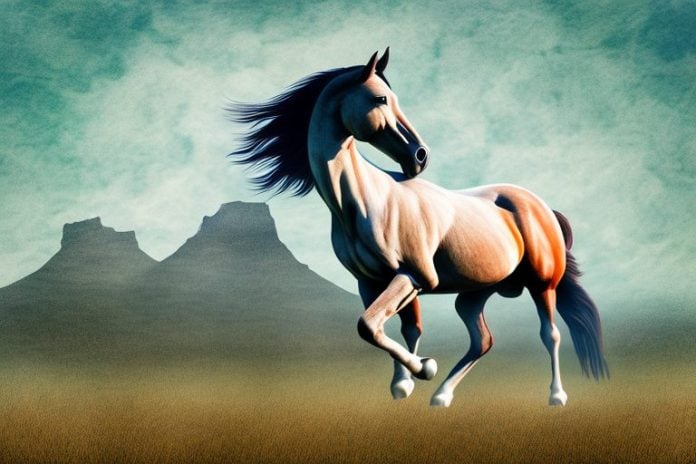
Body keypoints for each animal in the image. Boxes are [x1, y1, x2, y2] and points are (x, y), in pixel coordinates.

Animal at [229, 48, 608, 407]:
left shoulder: (415, 276)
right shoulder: (371, 281)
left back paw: (556, 396)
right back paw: (441, 397)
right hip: (474, 294)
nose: (420, 155)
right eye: (381, 99)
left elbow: (371, 325)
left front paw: (423, 368)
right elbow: (390, 326)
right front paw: (405, 383)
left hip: (542, 284)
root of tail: (543, 207)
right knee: (482, 340)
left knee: (550, 334)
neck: (367, 201)